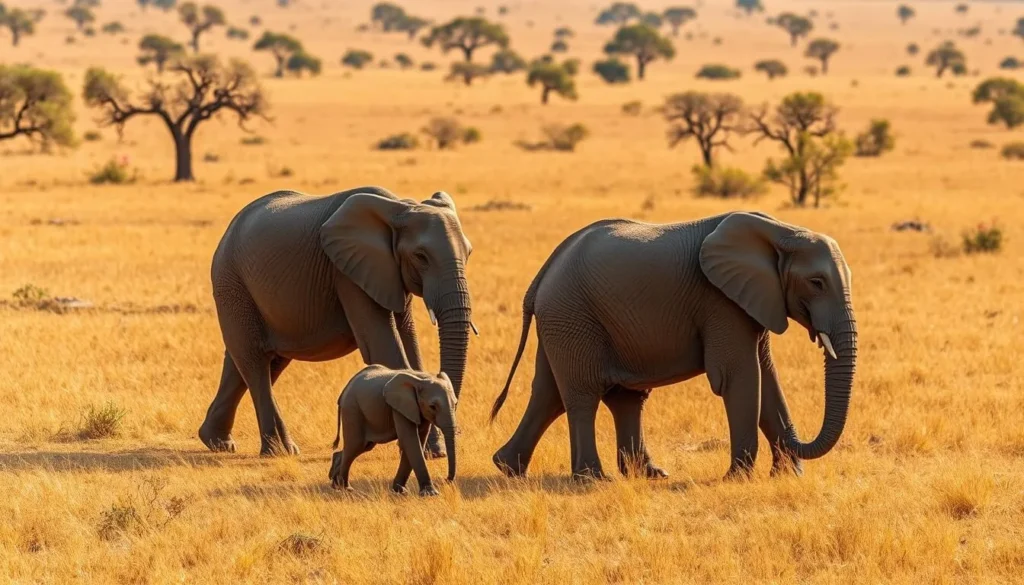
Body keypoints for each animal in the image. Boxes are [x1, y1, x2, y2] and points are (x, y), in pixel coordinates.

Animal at [198, 186, 474, 457]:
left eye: (468, 253)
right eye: (421, 256)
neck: (399, 207)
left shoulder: (387, 273)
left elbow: (410, 343)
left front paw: (432, 449)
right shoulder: (347, 274)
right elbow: (383, 346)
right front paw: (429, 449)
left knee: (256, 363)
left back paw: (218, 442)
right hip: (231, 281)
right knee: (255, 363)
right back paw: (277, 451)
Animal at [329, 365, 458, 497]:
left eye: (455, 404)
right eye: (433, 407)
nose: (446, 480)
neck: (421, 379)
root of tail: (345, 390)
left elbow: (419, 440)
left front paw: (400, 490)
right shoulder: (399, 408)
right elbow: (410, 440)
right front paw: (430, 494)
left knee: (362, 447)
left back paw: (335, 483)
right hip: (352, 408)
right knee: (354, 446)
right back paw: (346, 488)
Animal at [490, 211, 857, 480]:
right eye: (816, 283)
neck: (780, 231)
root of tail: (543, 273)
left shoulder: (755, 300)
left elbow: (766, 379)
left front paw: (788, 476)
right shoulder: (720, 302)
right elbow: (738, 378)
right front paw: (737, 478)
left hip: (566, 321)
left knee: (561, 395)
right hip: (571, 316)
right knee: (582, 396)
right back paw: (592, 479)